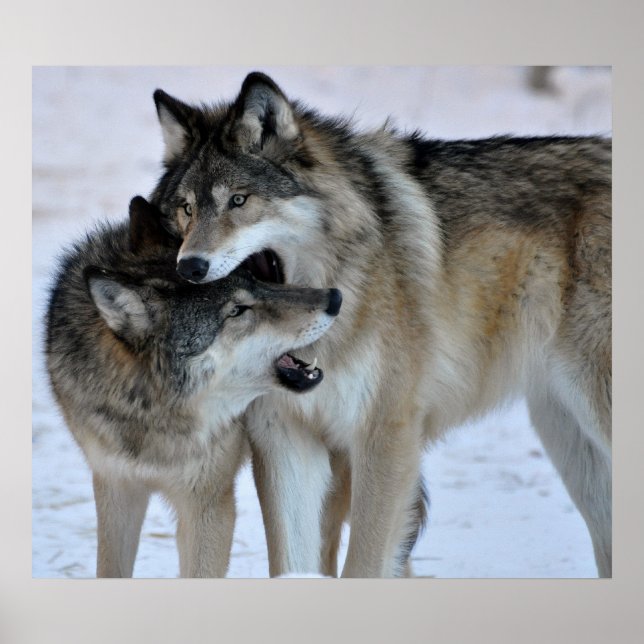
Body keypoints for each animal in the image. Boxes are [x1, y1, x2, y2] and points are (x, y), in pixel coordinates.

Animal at [45, 195, 342, 577]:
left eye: (255, 279)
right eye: (237, 310)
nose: (334, 298)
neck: (151, 418)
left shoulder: (208, 503)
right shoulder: (115, 486)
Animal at [150, 72, 612, 578]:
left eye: (238, 200)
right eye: (187, 208)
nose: (190, 266)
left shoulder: (385, 435)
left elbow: (365, 563)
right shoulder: (283, 437)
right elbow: (292, 560)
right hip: (566, 434)